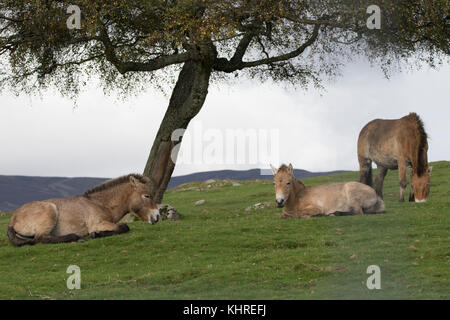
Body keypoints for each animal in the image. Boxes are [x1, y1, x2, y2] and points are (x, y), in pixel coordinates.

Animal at [6, 174, 160, 246]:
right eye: (147, 196)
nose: (157, 216)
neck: (100, 203)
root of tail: (13, 219)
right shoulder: (97, 224)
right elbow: (123, 227)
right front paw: (95, 234)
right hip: (51, 210)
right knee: (41, 238)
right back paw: (76, 237)